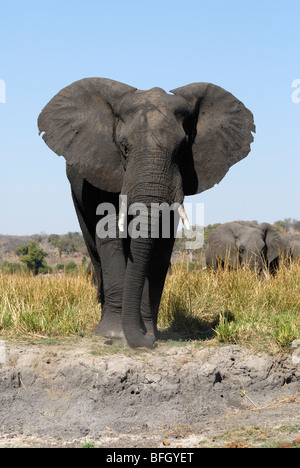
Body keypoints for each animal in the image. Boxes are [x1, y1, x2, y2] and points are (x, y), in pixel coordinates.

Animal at [36, 77, 254, 348]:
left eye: (182, 149)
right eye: (124, 148)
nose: (146, 340)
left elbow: (162, 241)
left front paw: (149, 333)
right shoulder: (103, 167)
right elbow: (109, 230)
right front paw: (116, 335)